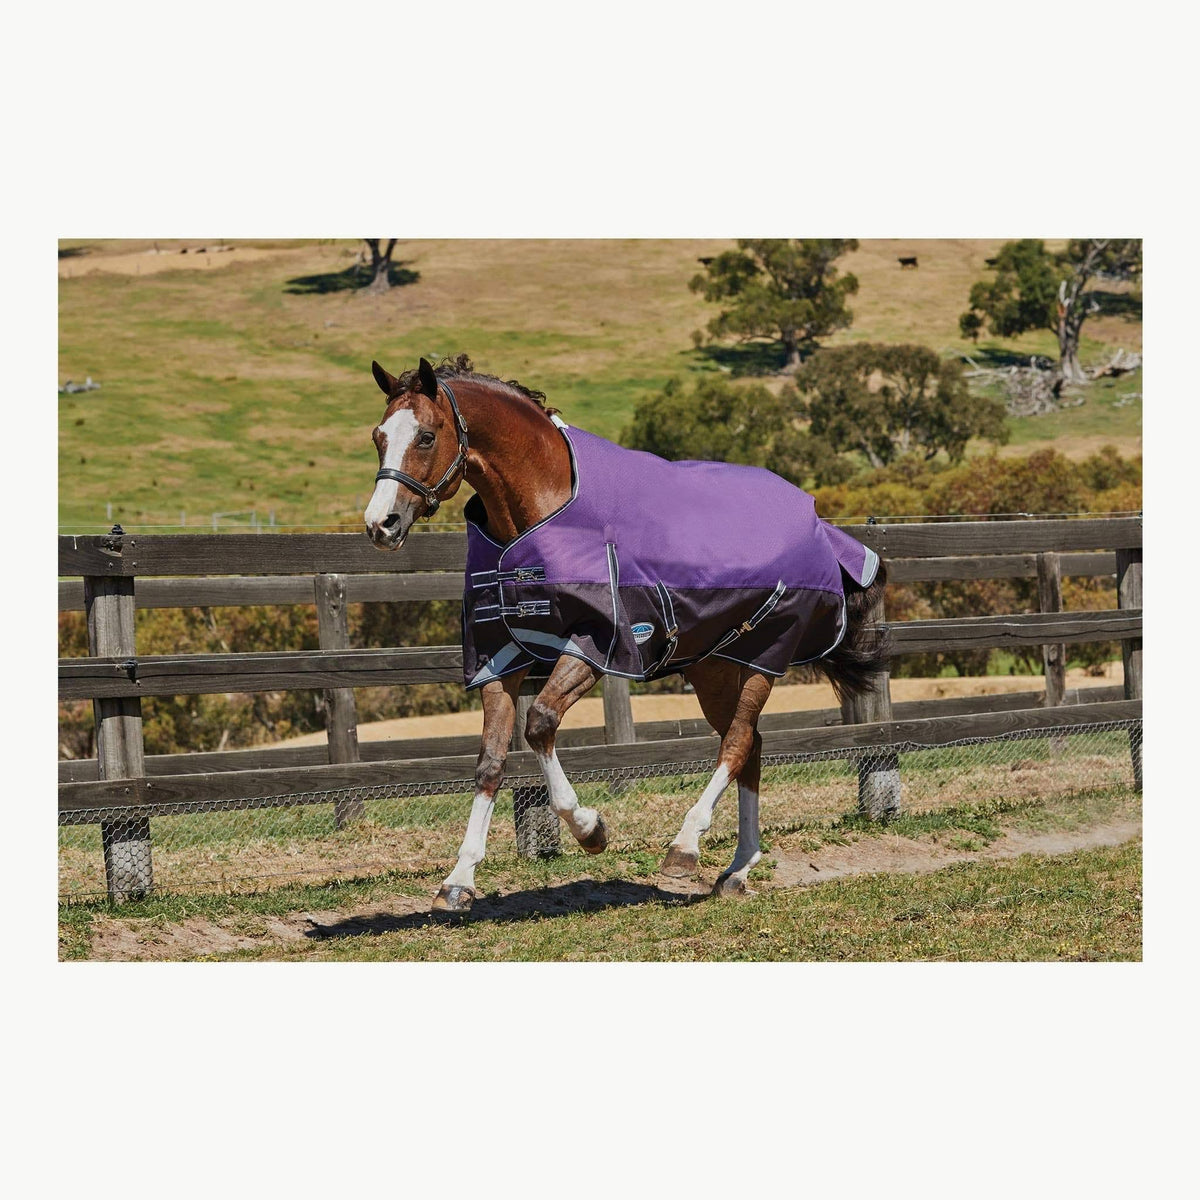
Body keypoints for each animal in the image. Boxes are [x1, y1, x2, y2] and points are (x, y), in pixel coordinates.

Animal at [364, 355, 889, 915]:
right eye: (378, 435)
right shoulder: (500, 655)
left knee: (738, 741)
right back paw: (737, 870)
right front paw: (458, 880)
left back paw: (685, 847)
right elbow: (490, 761)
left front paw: (591, 829)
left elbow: (540, 724)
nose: (380, 524)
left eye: (425, 436)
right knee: (751, 745)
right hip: (713, 668)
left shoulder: (597, 644)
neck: (544, 506)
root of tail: (816, 521)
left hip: (763, 654)